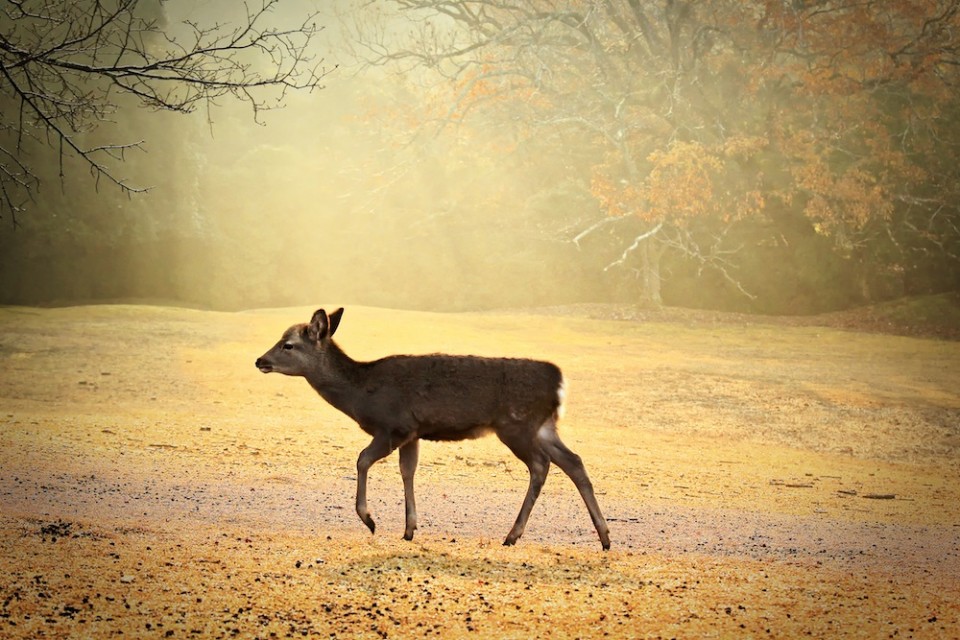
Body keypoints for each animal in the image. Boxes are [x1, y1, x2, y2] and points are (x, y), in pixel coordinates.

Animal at [255, 306, 612, 552]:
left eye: (288, 344)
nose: (260, 360)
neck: (360, 394)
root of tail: (559, 382)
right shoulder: (413, 433)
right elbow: (407, 471)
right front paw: (409, 528)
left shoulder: (394, 425)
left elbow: (362, 459)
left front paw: (369, 519)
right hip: (543, 427)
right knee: (574, 462)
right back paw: (605, 536)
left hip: (517, 425)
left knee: (541, 465)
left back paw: (512, 535)